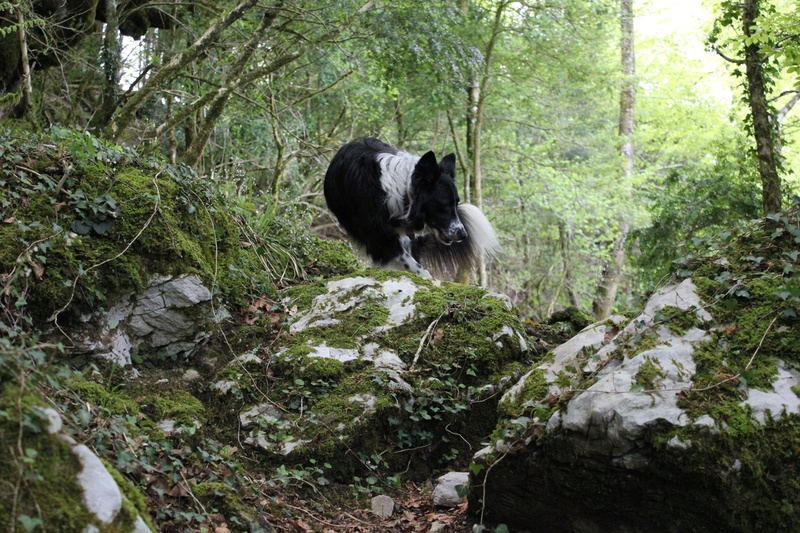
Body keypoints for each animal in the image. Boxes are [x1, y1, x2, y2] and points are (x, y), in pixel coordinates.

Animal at [322, 137, 496, 278]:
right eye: (445, 206)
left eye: (456, 204)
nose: (463, 235)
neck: (404, 192)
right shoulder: (379, 238)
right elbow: (412, 264)